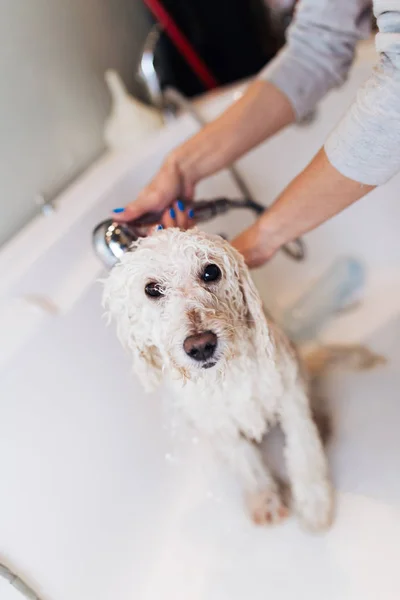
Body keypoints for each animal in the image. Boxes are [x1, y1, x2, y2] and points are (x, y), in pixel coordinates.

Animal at [102, 229, 332, 528]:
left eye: (211, 271)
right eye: (151, 289)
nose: (201, 345)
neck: (225, 378)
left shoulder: (288, 394)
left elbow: (303, 449)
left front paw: (314, 503)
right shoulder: (216, 423)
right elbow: (244, 460)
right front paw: (265, 500)